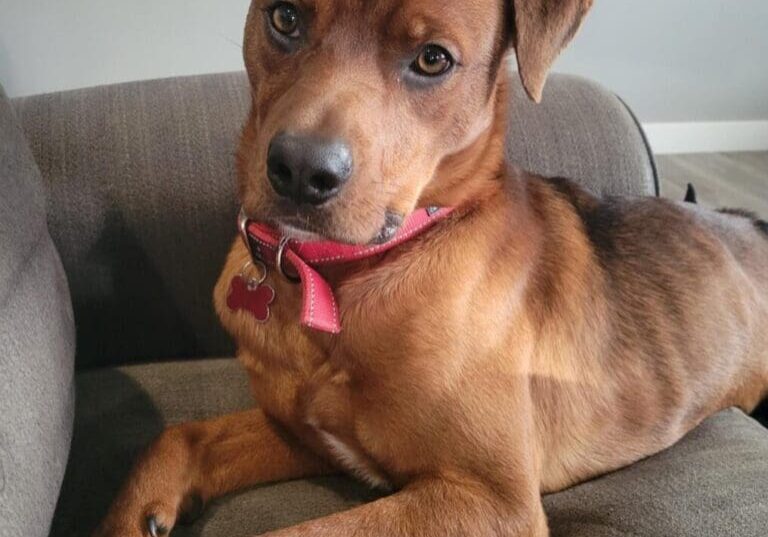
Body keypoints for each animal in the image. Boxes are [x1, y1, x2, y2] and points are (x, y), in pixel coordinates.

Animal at [96, 0, 768, 532]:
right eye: (285, 17)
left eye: (433, 59)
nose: (299, 172)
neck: (344, 276)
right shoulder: (307, 433)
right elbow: (178, 435)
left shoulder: (490, 498)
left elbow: (295, 533)